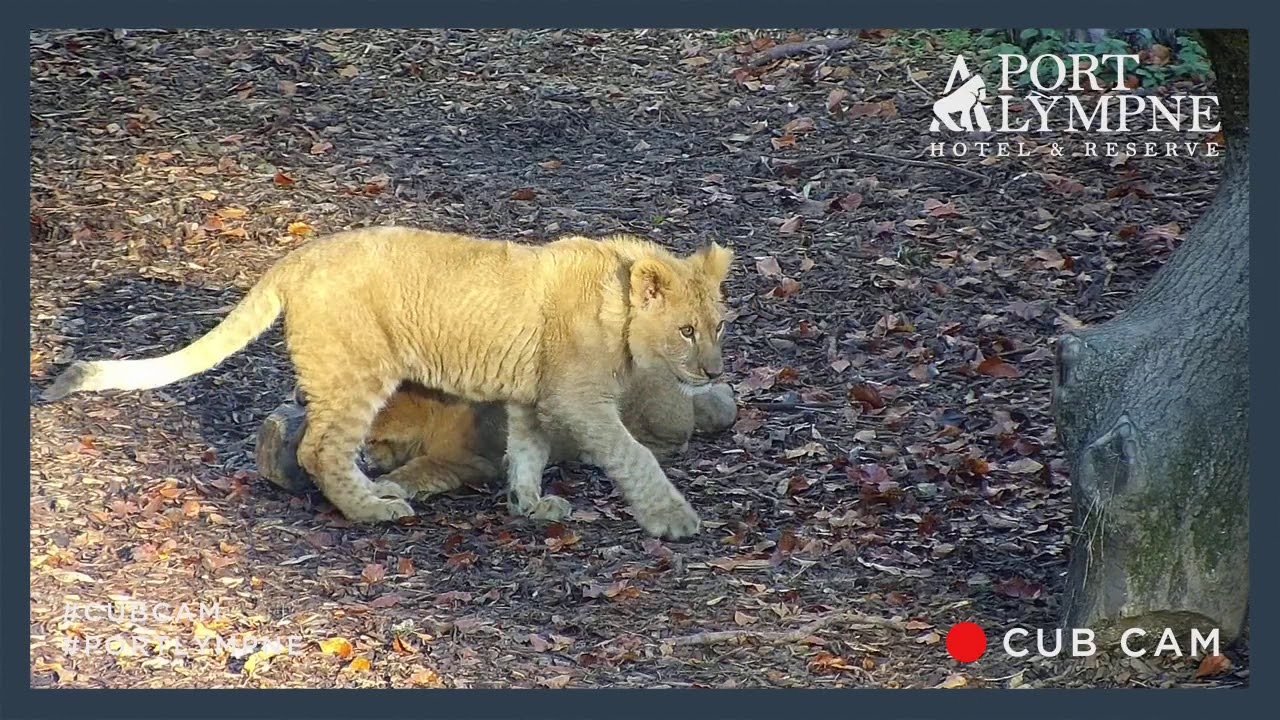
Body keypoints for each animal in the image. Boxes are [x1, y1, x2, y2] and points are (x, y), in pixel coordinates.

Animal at [43, 227, 734, 540]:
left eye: (717, 325)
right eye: (686, 331)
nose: (714, 371)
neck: (619, 311)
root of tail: (295, 259)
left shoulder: (531, 397)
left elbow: (527, 453)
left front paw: (530, 505)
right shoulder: (576, 399)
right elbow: (634, 453)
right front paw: (673, 519)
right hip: (359, 371)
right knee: (320, 449)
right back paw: (373, 508)